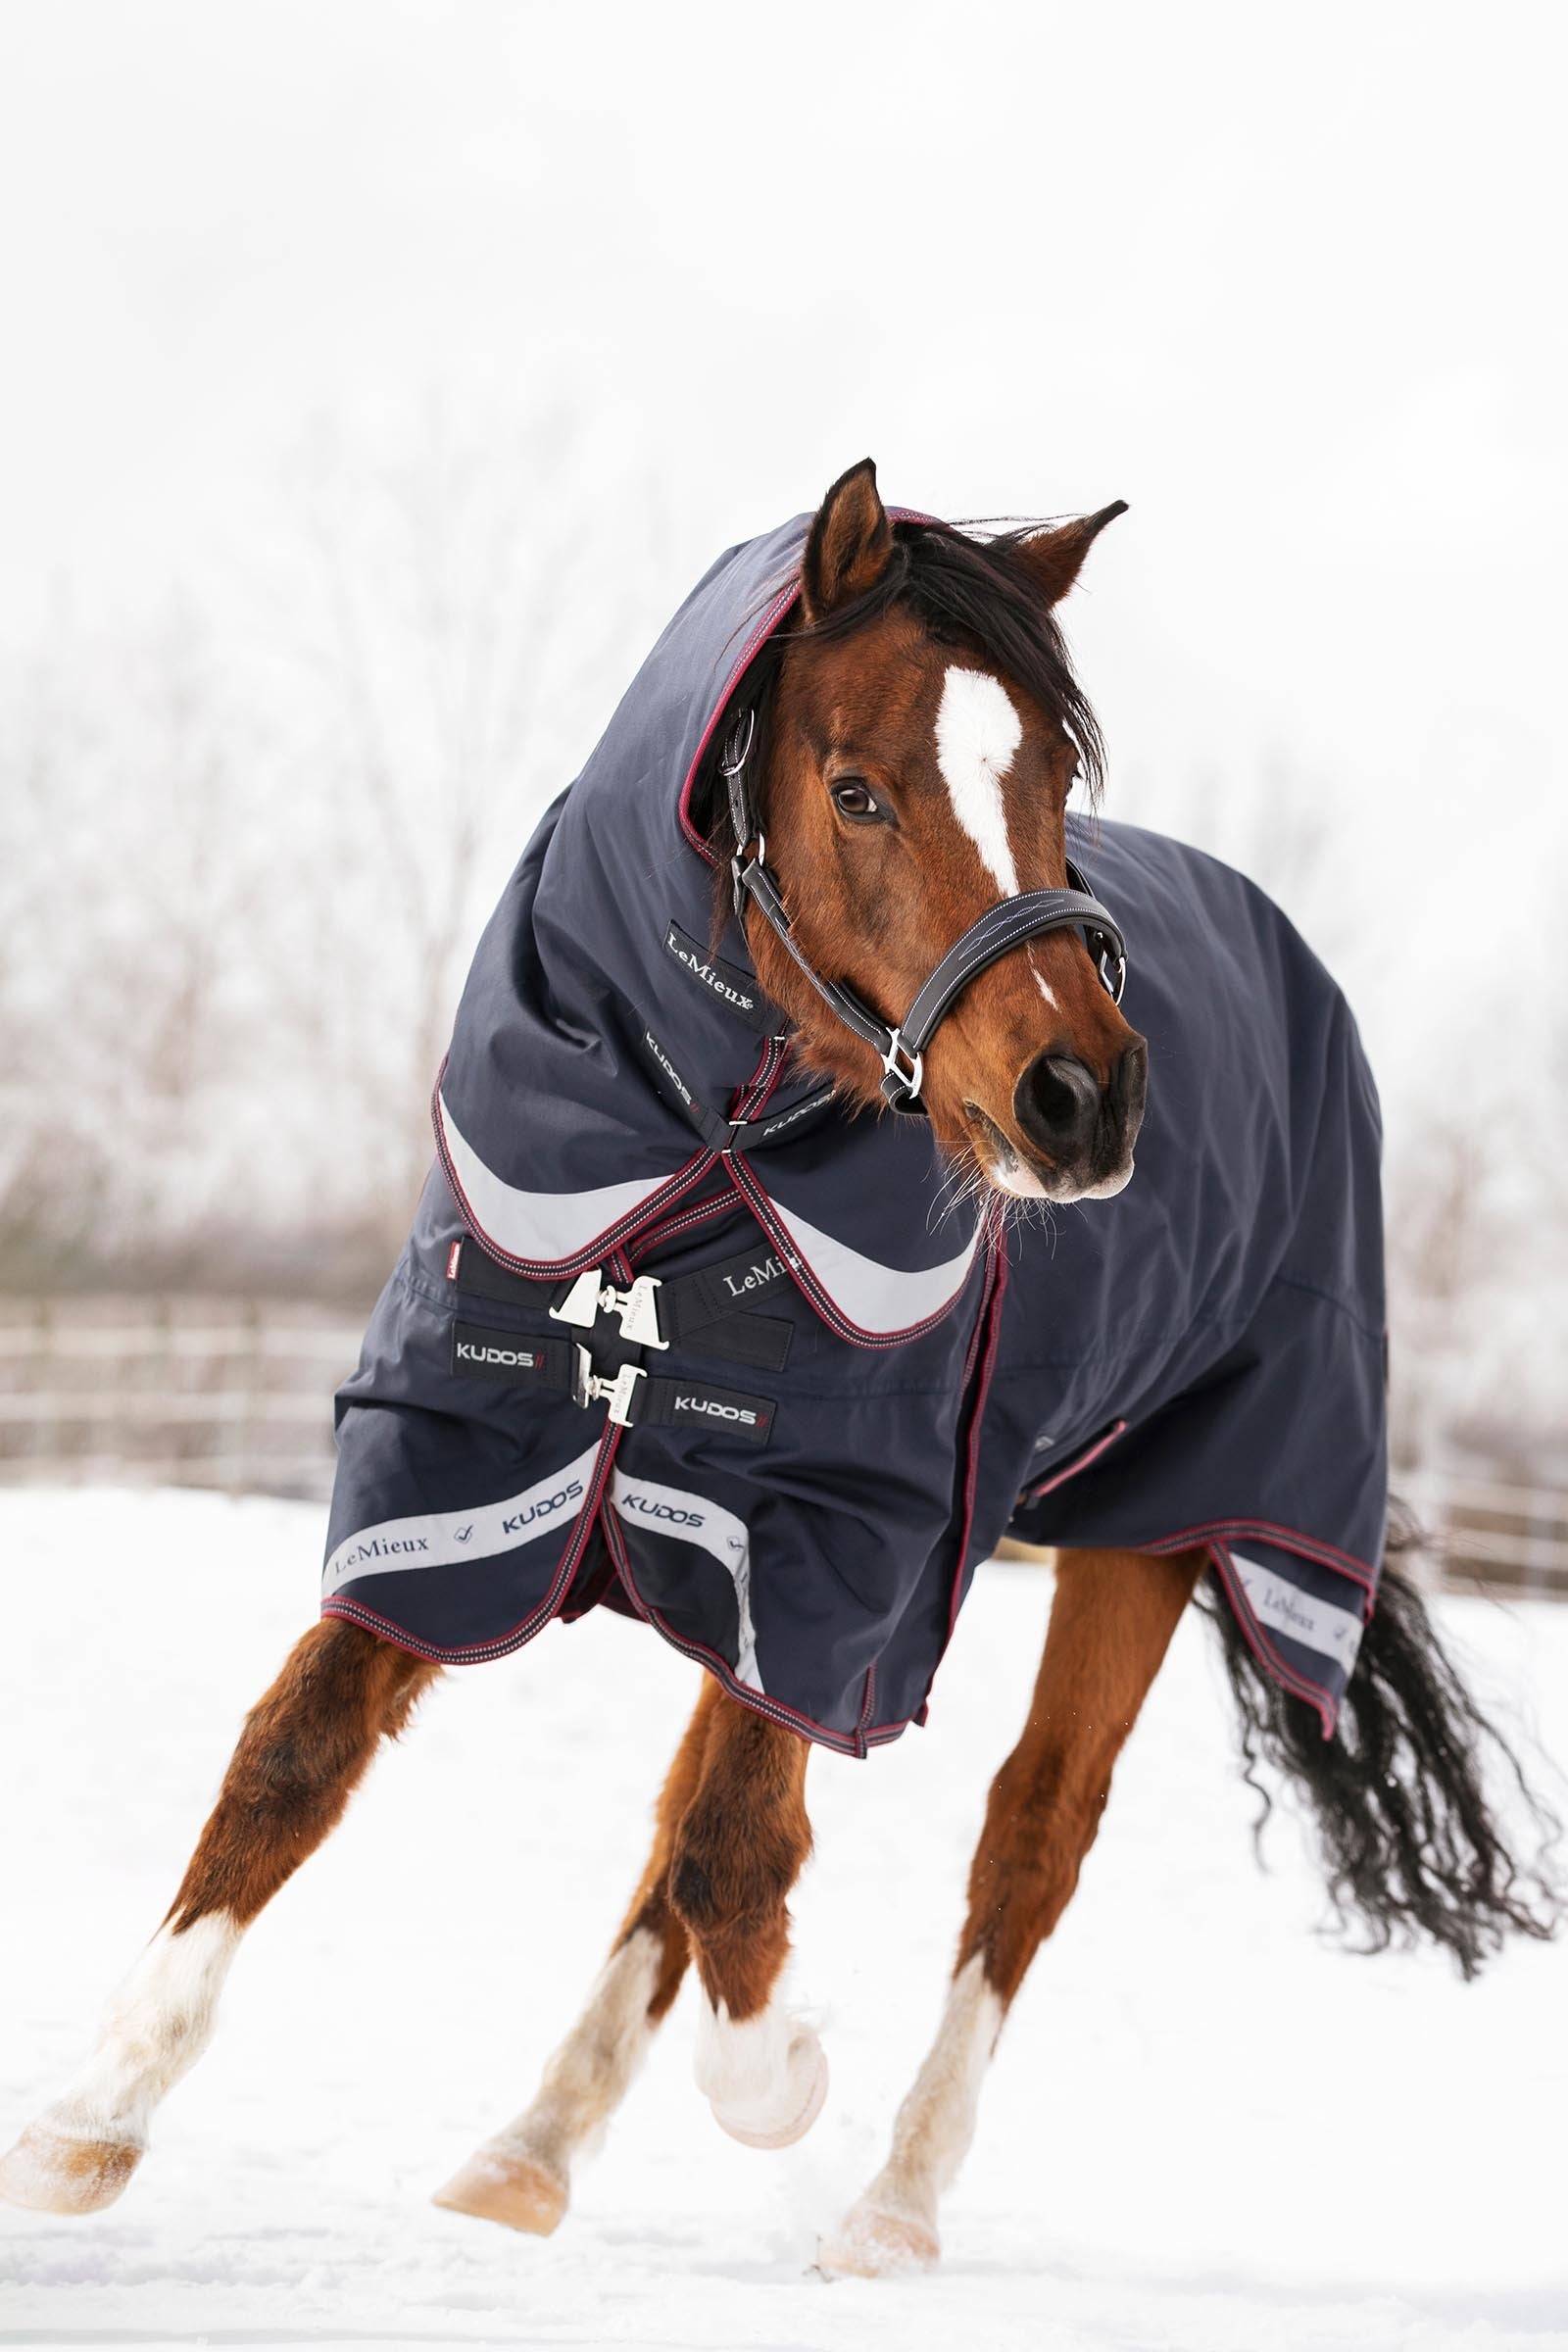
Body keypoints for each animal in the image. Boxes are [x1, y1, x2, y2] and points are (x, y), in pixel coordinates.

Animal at [1, 461, 1556, 2279]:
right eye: (859, 788)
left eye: (1056, 777)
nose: (1084, 1100)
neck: (694, 1160)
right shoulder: (479, 1462)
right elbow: (304, 1754)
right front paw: (87, 2119)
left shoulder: (836, 1543)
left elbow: (745, 1851)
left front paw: (788, 2080)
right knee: (697, 1837)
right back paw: (529, 2151)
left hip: (1153, 1535)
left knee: (1027, 1840)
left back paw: (885, 2209)